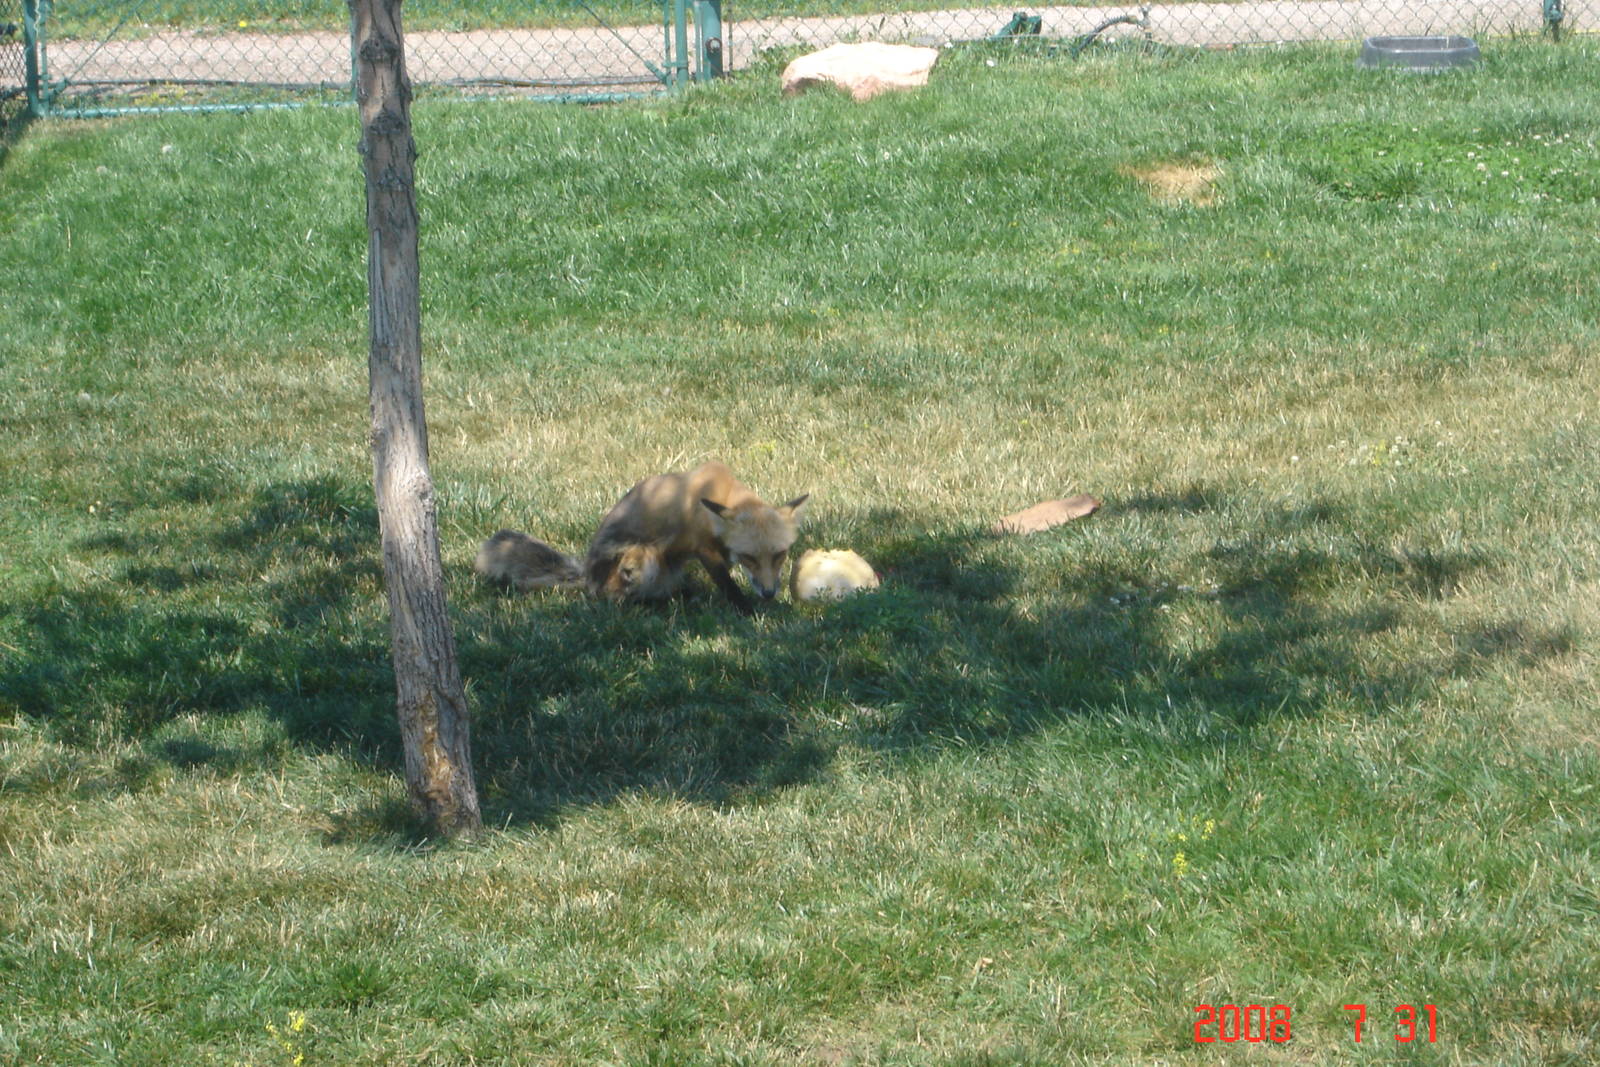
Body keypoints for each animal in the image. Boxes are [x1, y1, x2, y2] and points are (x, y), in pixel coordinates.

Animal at [584, 461, 808, 614]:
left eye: (780, 555)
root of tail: (587, 579)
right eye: (749, 557)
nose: (769, 594)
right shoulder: (703, 548)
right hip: (641, 557)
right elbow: (727, 583)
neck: (722, 491)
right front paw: (746, 611)